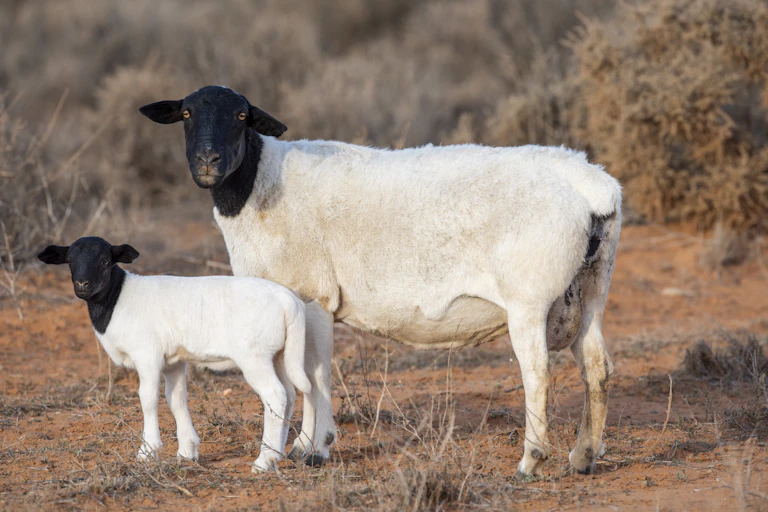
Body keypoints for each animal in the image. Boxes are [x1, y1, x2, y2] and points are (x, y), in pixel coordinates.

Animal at [37, 236, 311, 473]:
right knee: (289, 394)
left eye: (106, 261)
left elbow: (147, 398)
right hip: (279, 355)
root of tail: (290, 303)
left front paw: (147, 451)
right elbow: (176, 399)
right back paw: (277, 454)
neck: (117, 300)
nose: (82, 285)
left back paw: (264, 461)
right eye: (70, 261)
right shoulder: (174, 362)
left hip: (254, 355)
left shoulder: (147, 355)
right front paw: (187, 452)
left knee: (275, 394)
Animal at [139, 85, 622, 479]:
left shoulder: (312, 296)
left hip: (528, 299)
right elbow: (305, 375)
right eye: (186, 114)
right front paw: (303, 445)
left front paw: (315, 448)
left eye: (242, 116)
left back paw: (530, 461)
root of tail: (593, 186)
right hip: (592, 291)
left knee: (537, 372)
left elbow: (313, 374)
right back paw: (583, 456)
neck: (261, 183)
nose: (208, 161)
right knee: (596, 367)